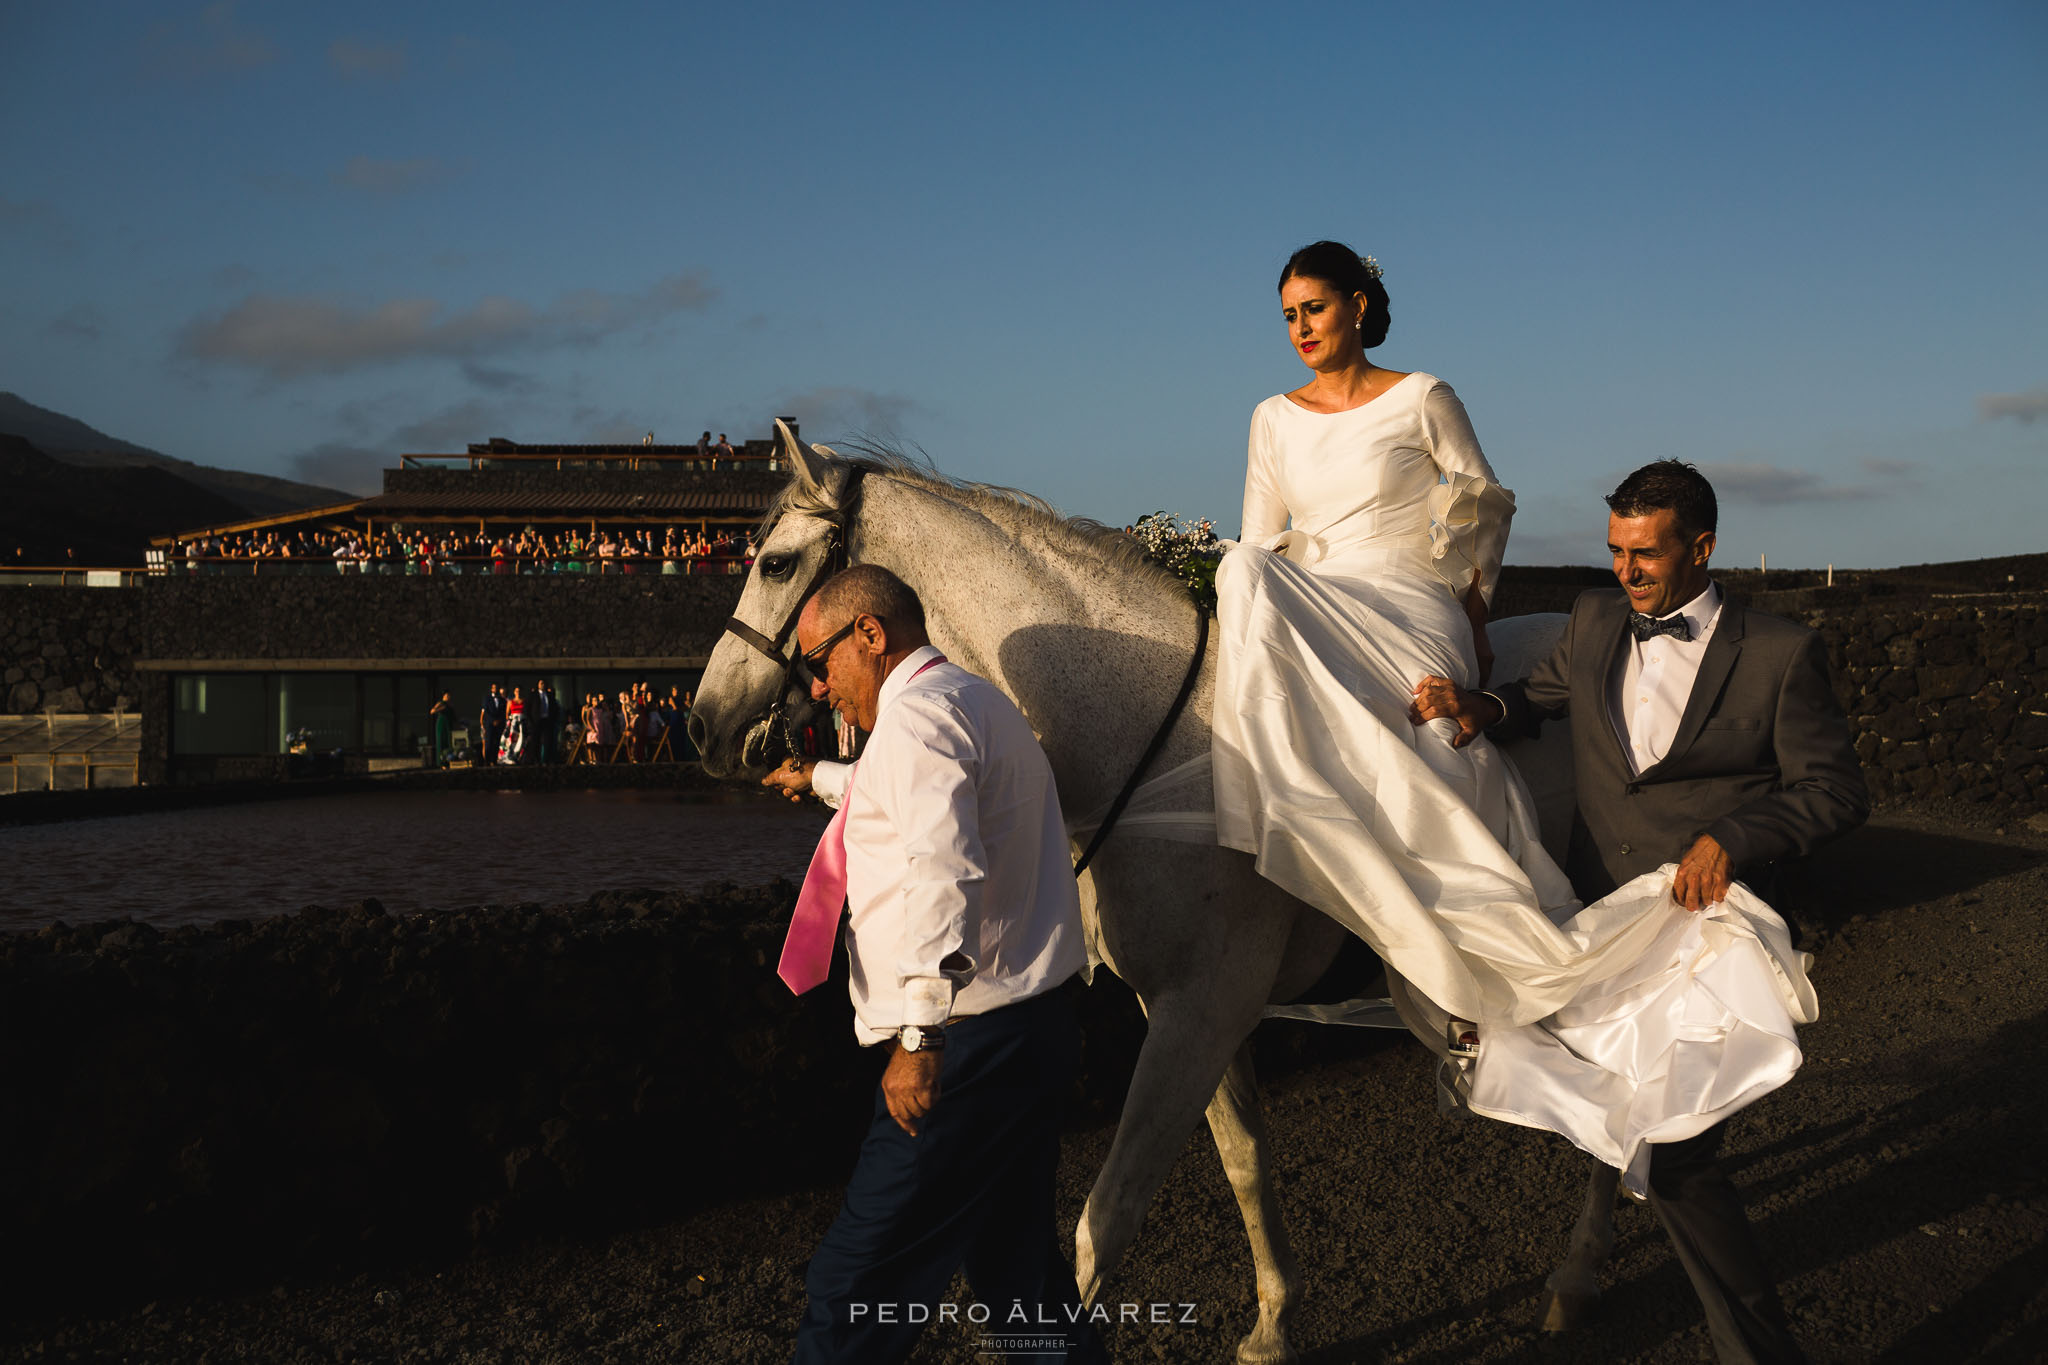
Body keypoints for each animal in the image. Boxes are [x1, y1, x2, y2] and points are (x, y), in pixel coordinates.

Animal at [688, 429, 1613, 1365]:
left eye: (775, 562)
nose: (701, 724)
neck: (1159, 742)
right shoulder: (1187, 1005)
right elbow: (1244, 1159)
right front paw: (1274, 1322)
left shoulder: (1203, 1004)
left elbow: (1107, 1218)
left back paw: (1577, 1277)